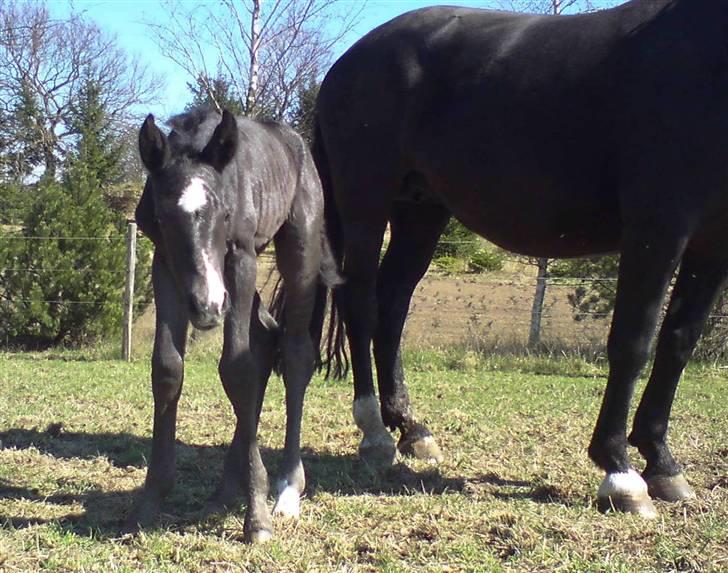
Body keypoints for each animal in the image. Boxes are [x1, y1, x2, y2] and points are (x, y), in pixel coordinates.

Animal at [314, 0, 728, 516]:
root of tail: (346, 63)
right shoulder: (658, 228)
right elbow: (633, 343)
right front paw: (620, 471)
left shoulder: (712, 243)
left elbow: (678, 344)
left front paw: (663, 465)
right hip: (366, 206)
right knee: (362, 305)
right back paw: (374, 434)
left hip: (421, 211)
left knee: (392, 306)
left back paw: (411, 428)